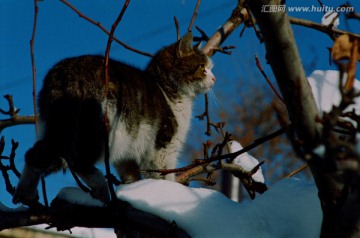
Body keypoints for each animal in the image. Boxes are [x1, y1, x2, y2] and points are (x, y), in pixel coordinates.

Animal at [12, 32, 215, 205]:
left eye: (210, 68)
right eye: (202, 68)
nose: (214, 79)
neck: (167, 91)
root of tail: (63, 73)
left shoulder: (126, 157)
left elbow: (131, 177)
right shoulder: (163, 149)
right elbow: (162, 176)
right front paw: (167, 192)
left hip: (56, 126)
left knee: (35, 154)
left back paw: (24, 194)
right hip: (95, 129)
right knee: (76, 159)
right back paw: (101, 188)